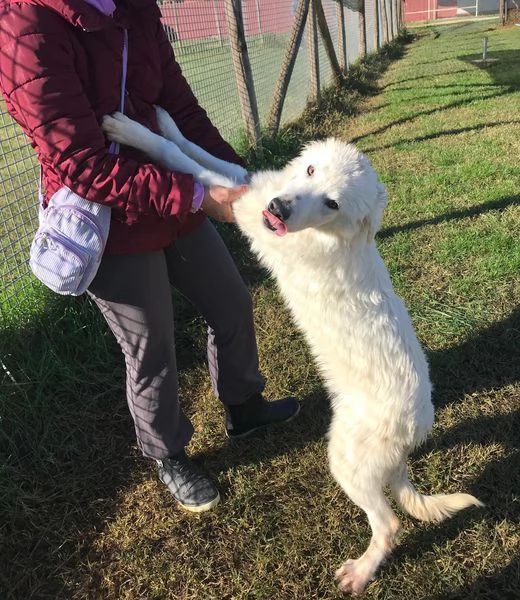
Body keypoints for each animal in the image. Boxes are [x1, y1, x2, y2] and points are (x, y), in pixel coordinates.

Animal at [101, 108, 484, 596]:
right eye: (310, 170)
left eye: (333, 204)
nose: (279, 210)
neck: (330, 235)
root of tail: (415, 428)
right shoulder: (251, 186)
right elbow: (204, 154)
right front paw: (166, 123)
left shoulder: (243, 209)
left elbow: (186, 165)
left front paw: (132, 133)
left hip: (346, 461)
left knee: (390, 525)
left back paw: (360, 571)